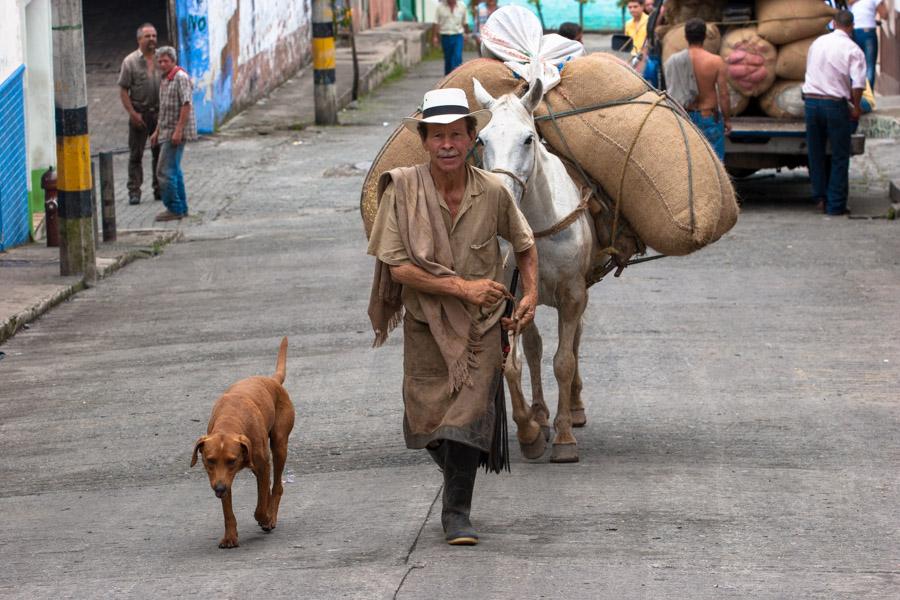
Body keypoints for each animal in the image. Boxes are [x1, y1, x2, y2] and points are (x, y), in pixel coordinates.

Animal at [191, 338, 296, 548]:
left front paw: (265, 517)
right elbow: (228, 511)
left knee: (276, 486)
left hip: (279, 445)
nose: (219, 489)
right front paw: (230, 536)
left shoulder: (262, 465)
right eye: (209, 461)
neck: (230, 421)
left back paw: (271, 516)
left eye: (232, 461)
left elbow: (260, 505)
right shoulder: (223, 478)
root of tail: (272, 380)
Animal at [472, 78, 596, 464]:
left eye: (528, 138)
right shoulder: (508, 293)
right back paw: (540, 414)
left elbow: (564, 361)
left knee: (574, 340)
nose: (501, 196)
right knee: (533, 346)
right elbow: (513, 363)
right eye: (481, 139)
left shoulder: (573, 294)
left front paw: (565, 439)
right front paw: (529, 431)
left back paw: (573, 408)